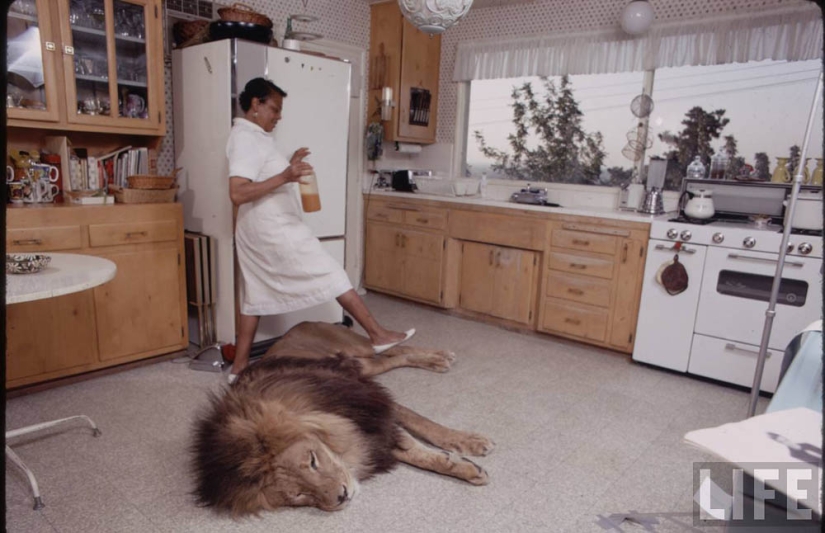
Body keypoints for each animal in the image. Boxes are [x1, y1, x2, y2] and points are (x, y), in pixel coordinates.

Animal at [191, 321, 494, 515]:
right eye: (299, 496)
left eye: (312, 461)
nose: (342, 497)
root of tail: (304, 321)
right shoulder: (369, 432)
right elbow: (417, 453)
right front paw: (464, 468)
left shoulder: (367, 403)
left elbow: (424, 425)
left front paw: (470, 442)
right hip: (364, 365)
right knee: (393, 356)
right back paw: (438, 360)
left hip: (357, 354)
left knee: (389, 349)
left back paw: (440, 356)